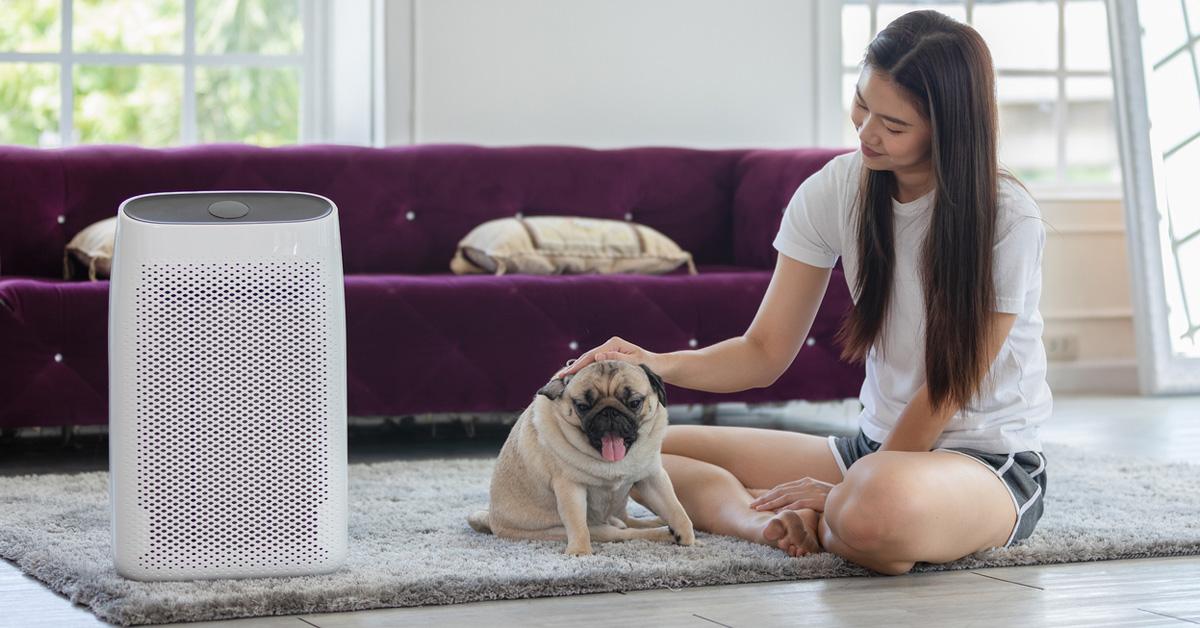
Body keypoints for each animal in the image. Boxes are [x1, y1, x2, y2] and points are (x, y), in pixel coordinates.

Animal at [465, 357, 700, 554]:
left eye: (634, 403)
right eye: (583, 406)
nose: (609, 412)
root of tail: (493, 521)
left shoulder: (652, 477)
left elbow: (675, 508)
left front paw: (688, 536)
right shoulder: (570, 487)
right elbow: (578, 525)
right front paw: (580, 552)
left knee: (628, 520)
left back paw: (658, 524)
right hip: (584, 529)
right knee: (622, 531)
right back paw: (661, 532)